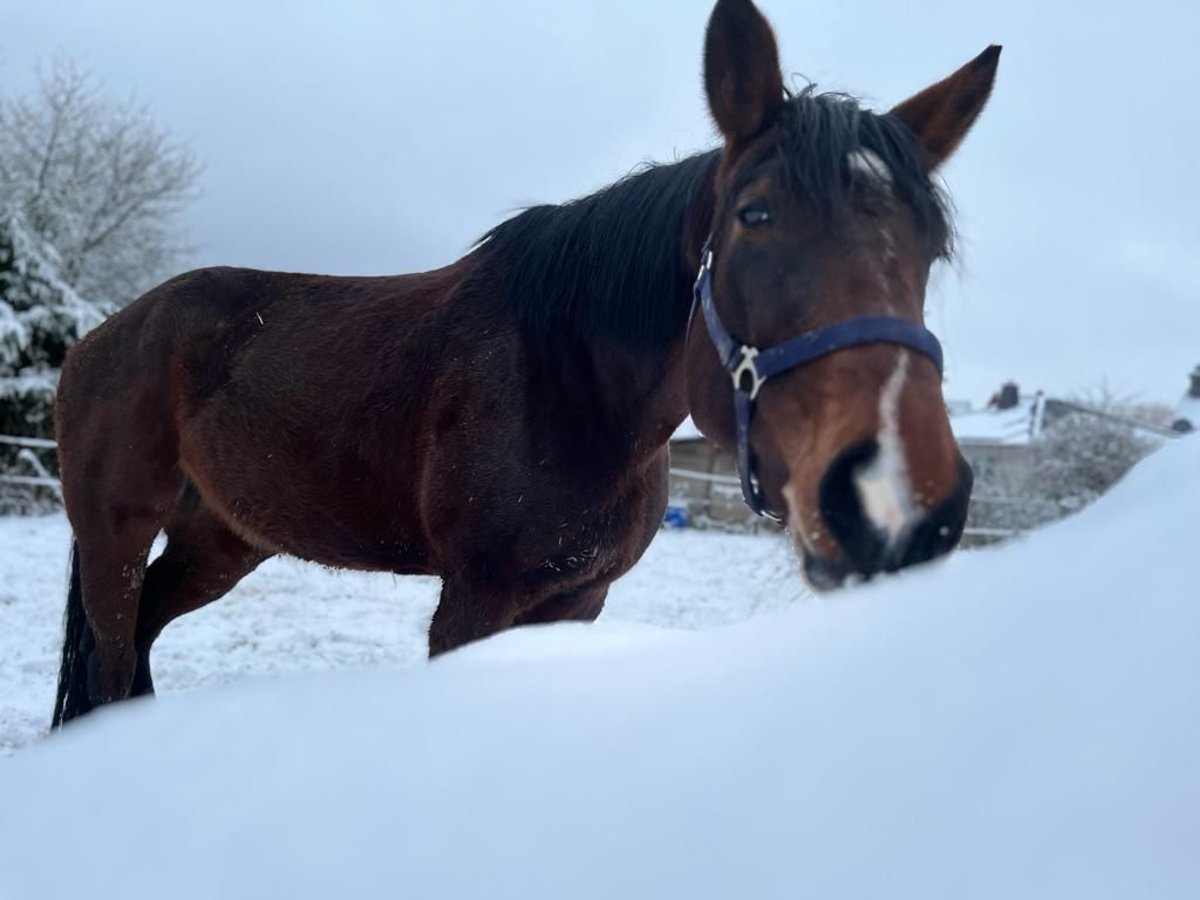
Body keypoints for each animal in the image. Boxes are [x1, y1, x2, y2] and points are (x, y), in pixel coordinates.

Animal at [51, 0, 998, 729]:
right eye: (755, 216)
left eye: (930, 248)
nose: (896, 501)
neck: (571, 387)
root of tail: (102, 336)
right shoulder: (474, 601)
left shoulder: (574, 604)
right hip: (114, 538)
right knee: (112, 660)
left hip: (221, 541)